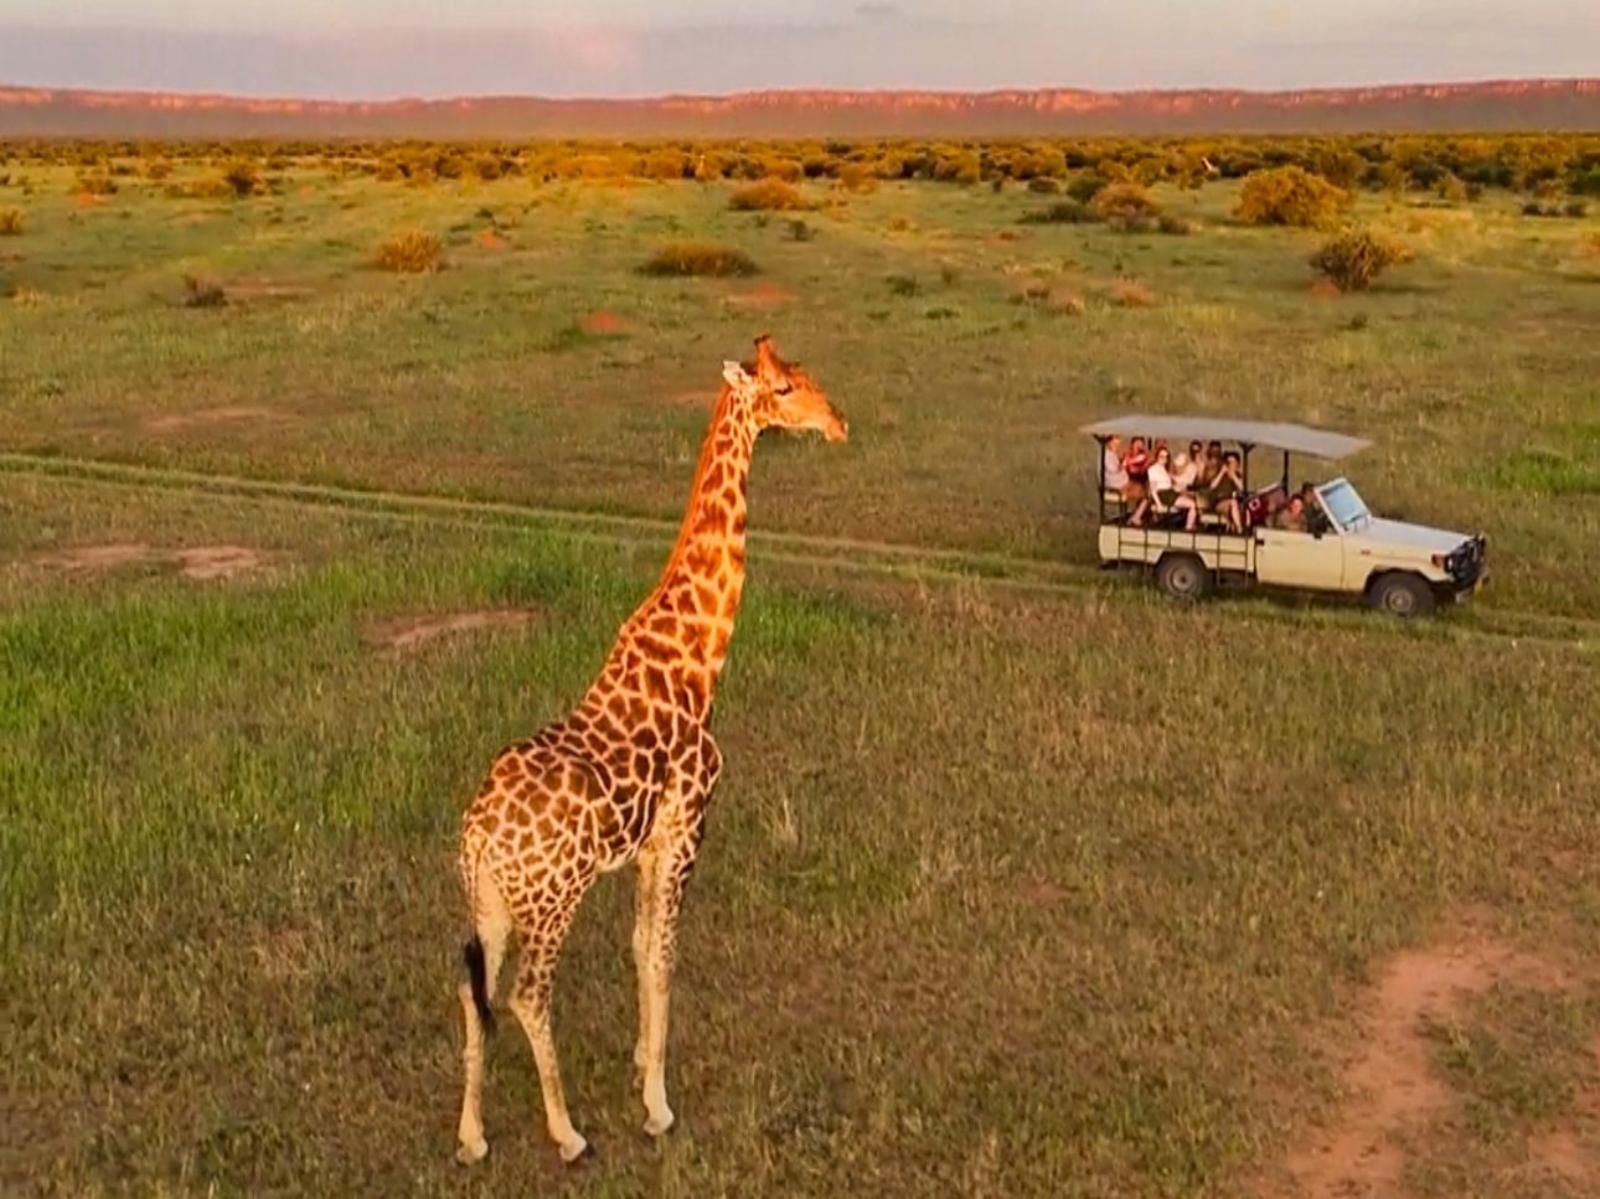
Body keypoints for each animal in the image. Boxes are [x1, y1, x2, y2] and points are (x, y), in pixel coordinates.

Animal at [454, 334, 851, 1158]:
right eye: (785, 388)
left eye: (803, 376)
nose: (838, 422)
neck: (700, 659)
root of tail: (476, 836)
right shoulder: (686, 825)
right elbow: (665, 954)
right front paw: (658, 1104)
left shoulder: (645, 846)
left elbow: (640, 946)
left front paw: (643, 1063)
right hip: (554, 897)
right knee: (528, 995)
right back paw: (568, 1133)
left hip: (491, 903)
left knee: (473, 991)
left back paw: (472, 1135)